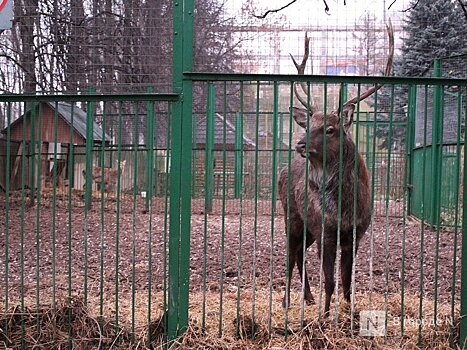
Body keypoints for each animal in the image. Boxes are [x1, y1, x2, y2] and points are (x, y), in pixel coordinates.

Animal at [280, 23, 394, 316]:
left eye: (330, 129)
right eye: (309, 125)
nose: (300, 144)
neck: (345, 209)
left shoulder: (356, 234)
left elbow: (345, 279)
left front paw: (349, 311)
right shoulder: (326, 231)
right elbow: (330, 280)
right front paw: (325, 315)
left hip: (307, 228)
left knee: (299, 254)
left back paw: (308, 297)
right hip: (292, 217)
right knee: (289, 255)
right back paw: (287, 301)